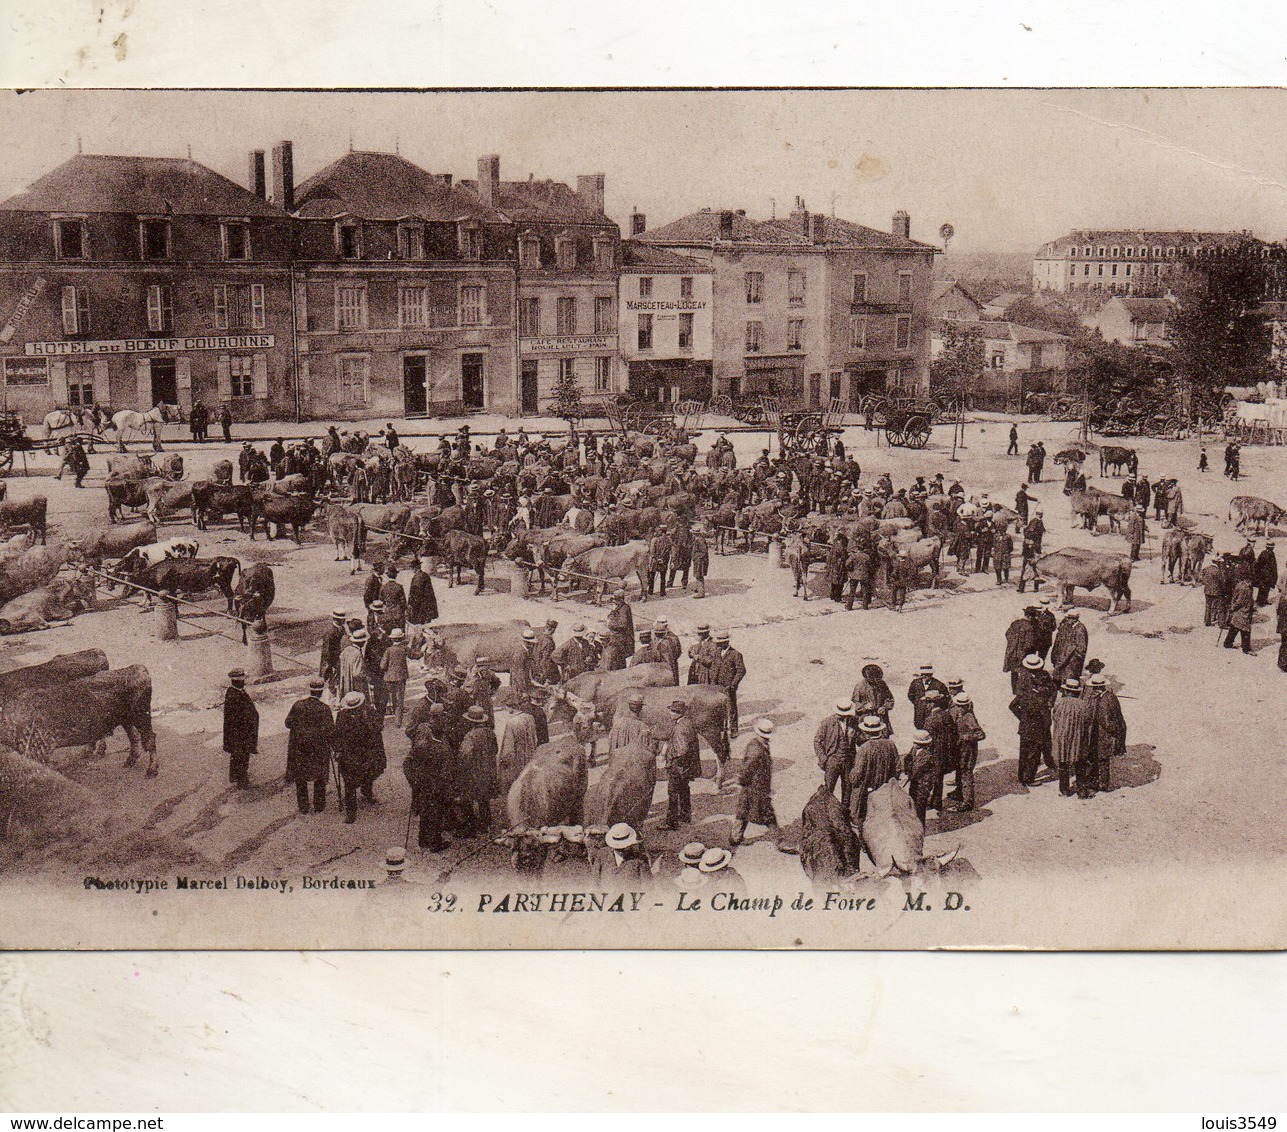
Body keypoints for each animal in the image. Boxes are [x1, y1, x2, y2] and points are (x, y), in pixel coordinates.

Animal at [0, 663, 159, 776]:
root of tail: (138, 669)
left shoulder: (37, 751)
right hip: (126, 719)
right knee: (134, 737)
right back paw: (129, 760)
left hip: (141, 716)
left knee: (149, 738)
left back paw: (152, 770)